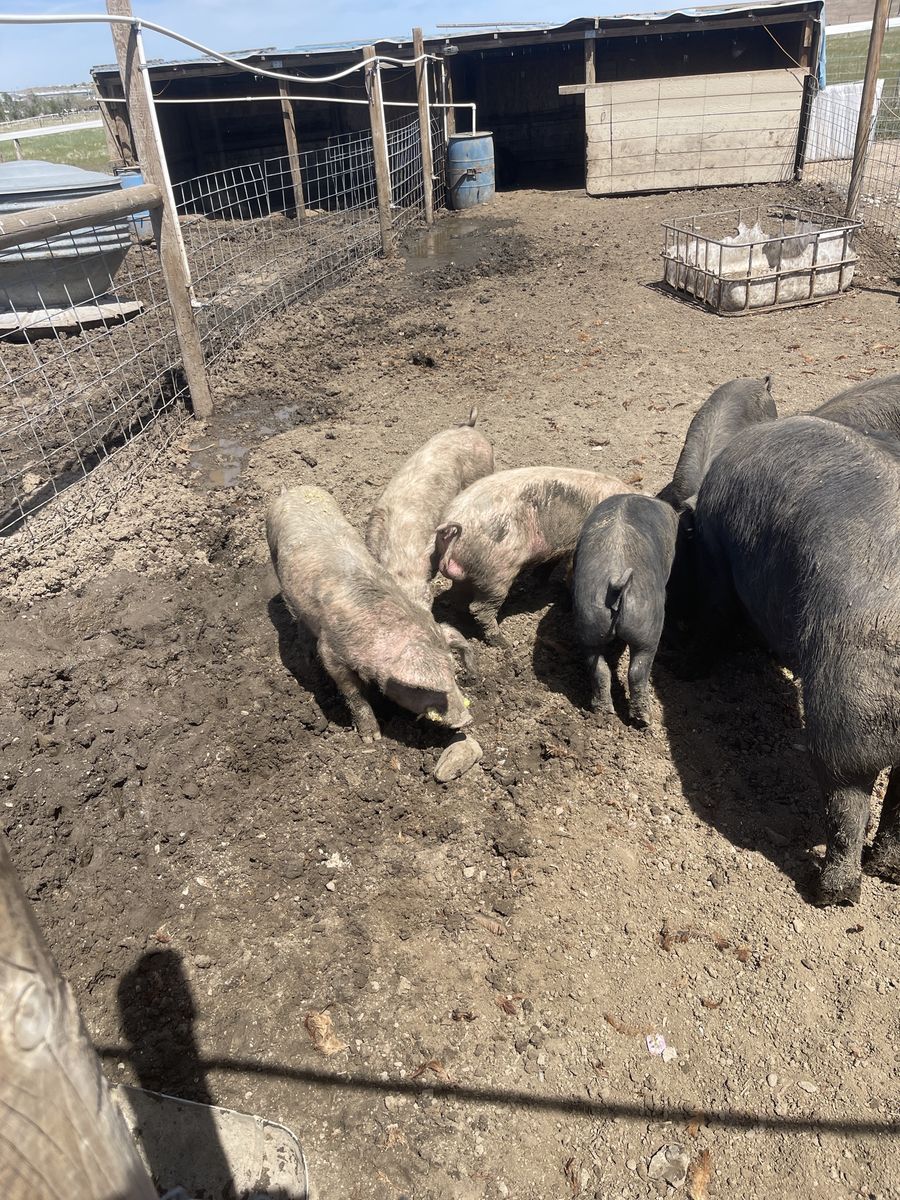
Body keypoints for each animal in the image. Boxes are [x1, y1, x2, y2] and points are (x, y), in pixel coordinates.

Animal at [267, 485, 473, 742]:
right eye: (422, 688)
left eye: (454, 672)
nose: (467, 719)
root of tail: (291, 490)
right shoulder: (330, 650)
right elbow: (354, 693)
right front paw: (372, 738)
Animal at [435, 467, 633, 645]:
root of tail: (452, 526)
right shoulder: (574, 548)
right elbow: (569, 573)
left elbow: (546, 567)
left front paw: (543, 585)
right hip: (497, 571)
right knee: (479, 608)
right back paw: (503, 642)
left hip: (468, 573)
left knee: (458, 599)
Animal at [572, 494, 679, 727]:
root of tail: (616, 581)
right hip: (647, 625)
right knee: (638, 670)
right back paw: (643, 720)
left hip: (588, 619)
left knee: (598, 667)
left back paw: (603, 712)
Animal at [692, 416, 900, 906]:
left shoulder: (715, 553)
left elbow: (713, 613)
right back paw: (888, 873)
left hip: (845, 709)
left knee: (845, 802)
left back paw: (833, 895)